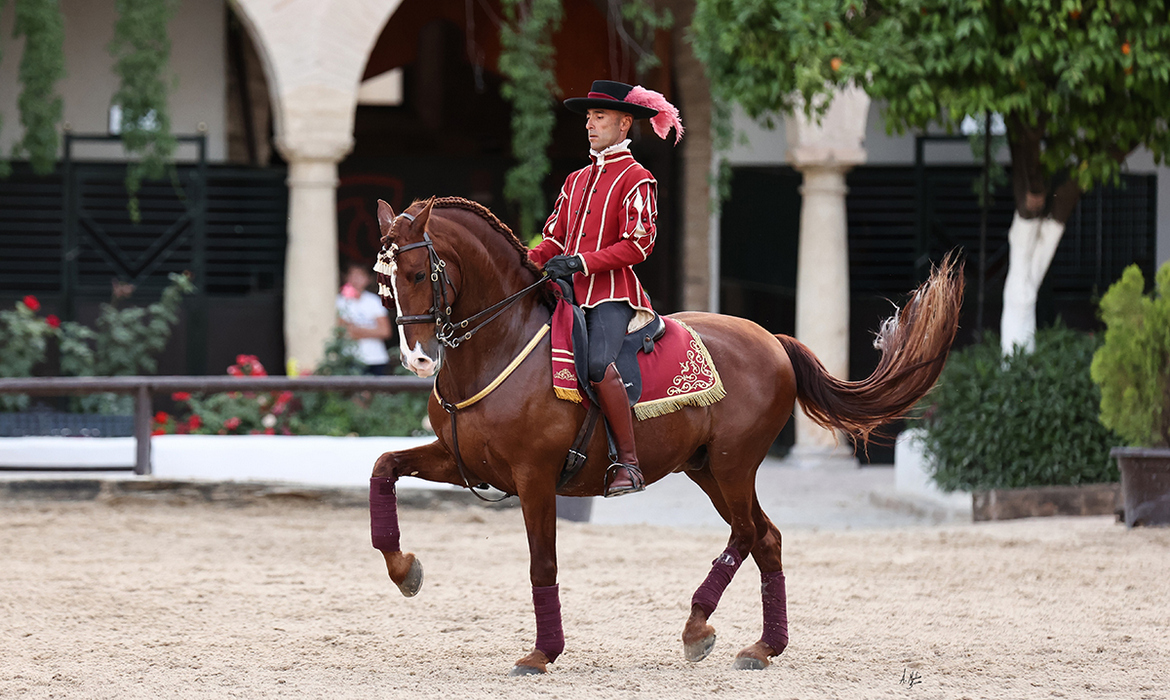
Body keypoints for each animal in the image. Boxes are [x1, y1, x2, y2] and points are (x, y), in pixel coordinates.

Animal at [365, 196, 959, 674]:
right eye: (383, 283)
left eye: (418, 274)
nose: (419, 359)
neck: (500, 346)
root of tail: (772, 338)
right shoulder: (461, 460)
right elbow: (384, 466)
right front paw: (403, 569)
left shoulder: (534, 477)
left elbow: (543, 562)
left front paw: (542, 653)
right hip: (707, 470)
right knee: (765, 538)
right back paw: (764, 647)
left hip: (733, 465)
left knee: (747, 534)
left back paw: (698, 626)